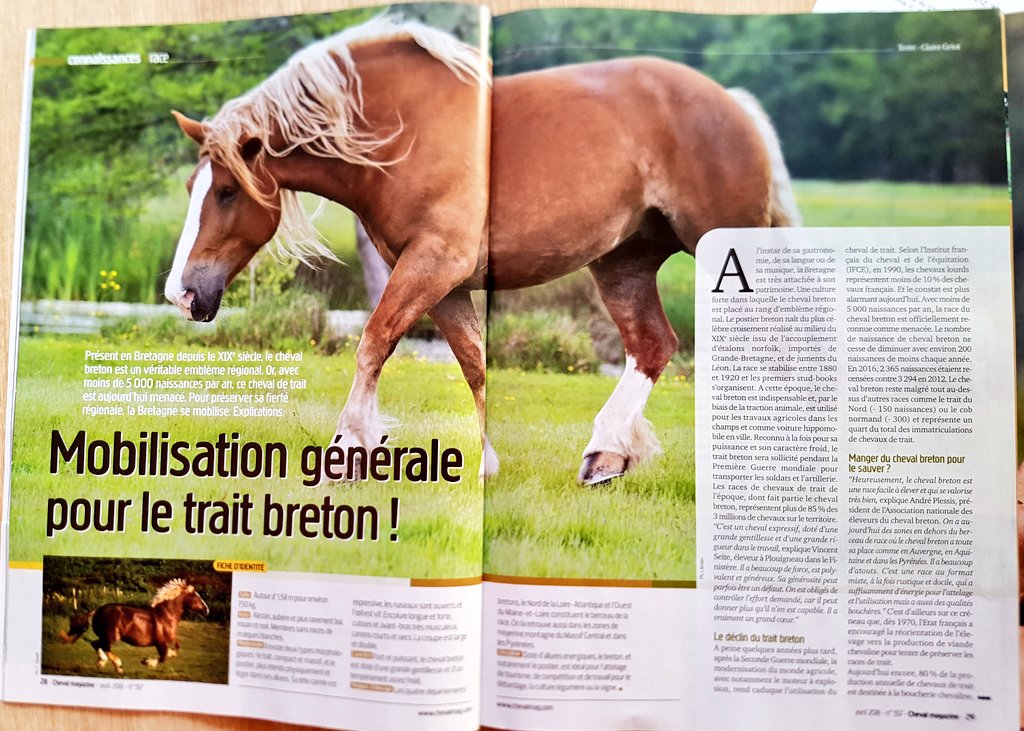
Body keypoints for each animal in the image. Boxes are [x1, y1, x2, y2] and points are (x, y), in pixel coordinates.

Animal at [59, 578, 210, 673]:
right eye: (196, 596)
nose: (207, 610)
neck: (166, 615)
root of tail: (97, 611)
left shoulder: (169, 639)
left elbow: (176, 648)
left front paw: (155, 659)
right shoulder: (161, 642)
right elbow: (163, 657)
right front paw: (147, 662)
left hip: (107, 636)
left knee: (97, 645)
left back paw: (104, 663)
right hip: (111, 636)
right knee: (99, 645)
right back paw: (117, 666)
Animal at [166, 16, 800, 485]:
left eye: (226, 192)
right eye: (190, 187)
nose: (182, 294)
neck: (402, 135)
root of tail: (734, 105)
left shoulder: (433, 265)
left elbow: (374, 342)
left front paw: (346, 453)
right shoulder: (441, 282)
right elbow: (472, 363)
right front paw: (486, 465)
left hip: (722, 253)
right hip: (625, 262)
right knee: (653, 345)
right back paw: (605, 456)